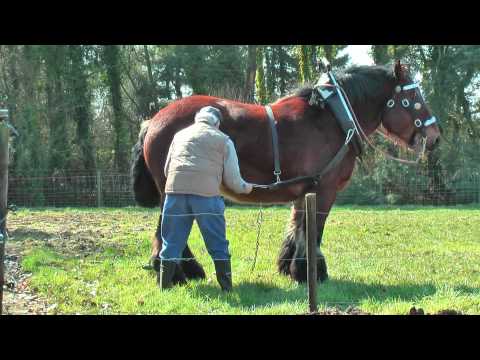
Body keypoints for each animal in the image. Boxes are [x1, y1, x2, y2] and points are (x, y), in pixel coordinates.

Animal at [132, 61, 442, 284]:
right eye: (413, 96)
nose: (436, 136)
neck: (331, 119)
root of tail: (152, 121)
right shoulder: (324, 189)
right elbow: (314, 230)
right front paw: (309, 273)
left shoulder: (304, 190)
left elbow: (298, 228)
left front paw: (290, 267)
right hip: (174, 188)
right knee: (167, 230)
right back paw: (176, 273)